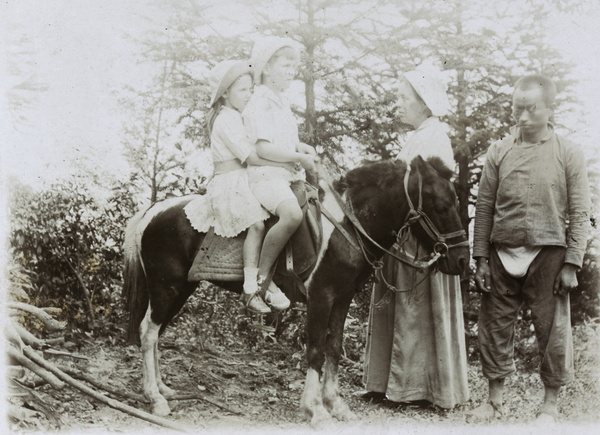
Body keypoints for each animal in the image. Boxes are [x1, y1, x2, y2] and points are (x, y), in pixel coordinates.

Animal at [122, 156, 468, 422]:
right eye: (440, 206)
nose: (462, 260)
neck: (347, 225)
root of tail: (153, 211)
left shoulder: (342, 298)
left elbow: (334, 347)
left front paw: (336, 404)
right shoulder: (320, 297)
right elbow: (315, 349)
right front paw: (315, 410)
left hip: (181, 290)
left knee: (156, 333)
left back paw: (162, 389)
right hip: (167, 288)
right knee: (148, 332)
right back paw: (155, 398)